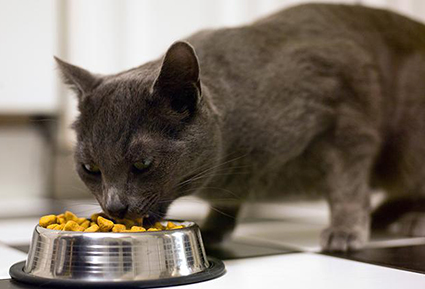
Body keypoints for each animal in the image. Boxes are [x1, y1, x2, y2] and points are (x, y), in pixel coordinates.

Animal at [57, 2, 425, 250]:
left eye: (143, 163)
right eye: (90, 168)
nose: (115, 207)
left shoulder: (346, 125)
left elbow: (346, 186)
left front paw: (345, 231)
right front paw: (212, 227)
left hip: (408, 149)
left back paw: (409, 220)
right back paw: (383, 216)